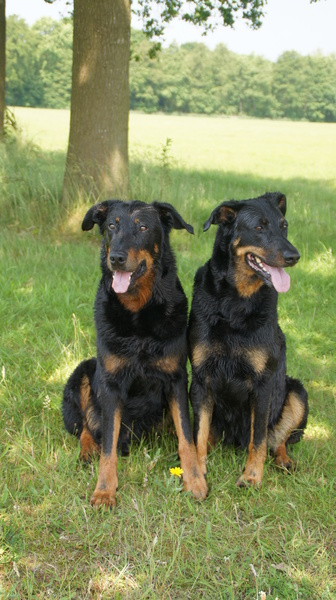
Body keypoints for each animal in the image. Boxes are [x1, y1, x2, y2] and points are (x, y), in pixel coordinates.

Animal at [62, 200, 207, 506]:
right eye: (111, 225)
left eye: (143, 227)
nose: (115, 257)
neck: (138, 312)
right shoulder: (110, 383)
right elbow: (108, 445)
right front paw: (104, 490)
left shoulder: (176, 378)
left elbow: (186, 436)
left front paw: (194, 479)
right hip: (82, 372)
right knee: (84, 427)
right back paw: (87, 450)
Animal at [188, 192, 308, 488]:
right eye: (258, 227)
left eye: (284, 226)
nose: (294, 256)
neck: (235, 304)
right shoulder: (201, 379)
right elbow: (198, 433)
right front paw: (197, 469)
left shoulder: (263, 383)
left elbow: (259, 438)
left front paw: (252, 476)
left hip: (296, 392)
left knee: (278, 440)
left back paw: (284, 460)